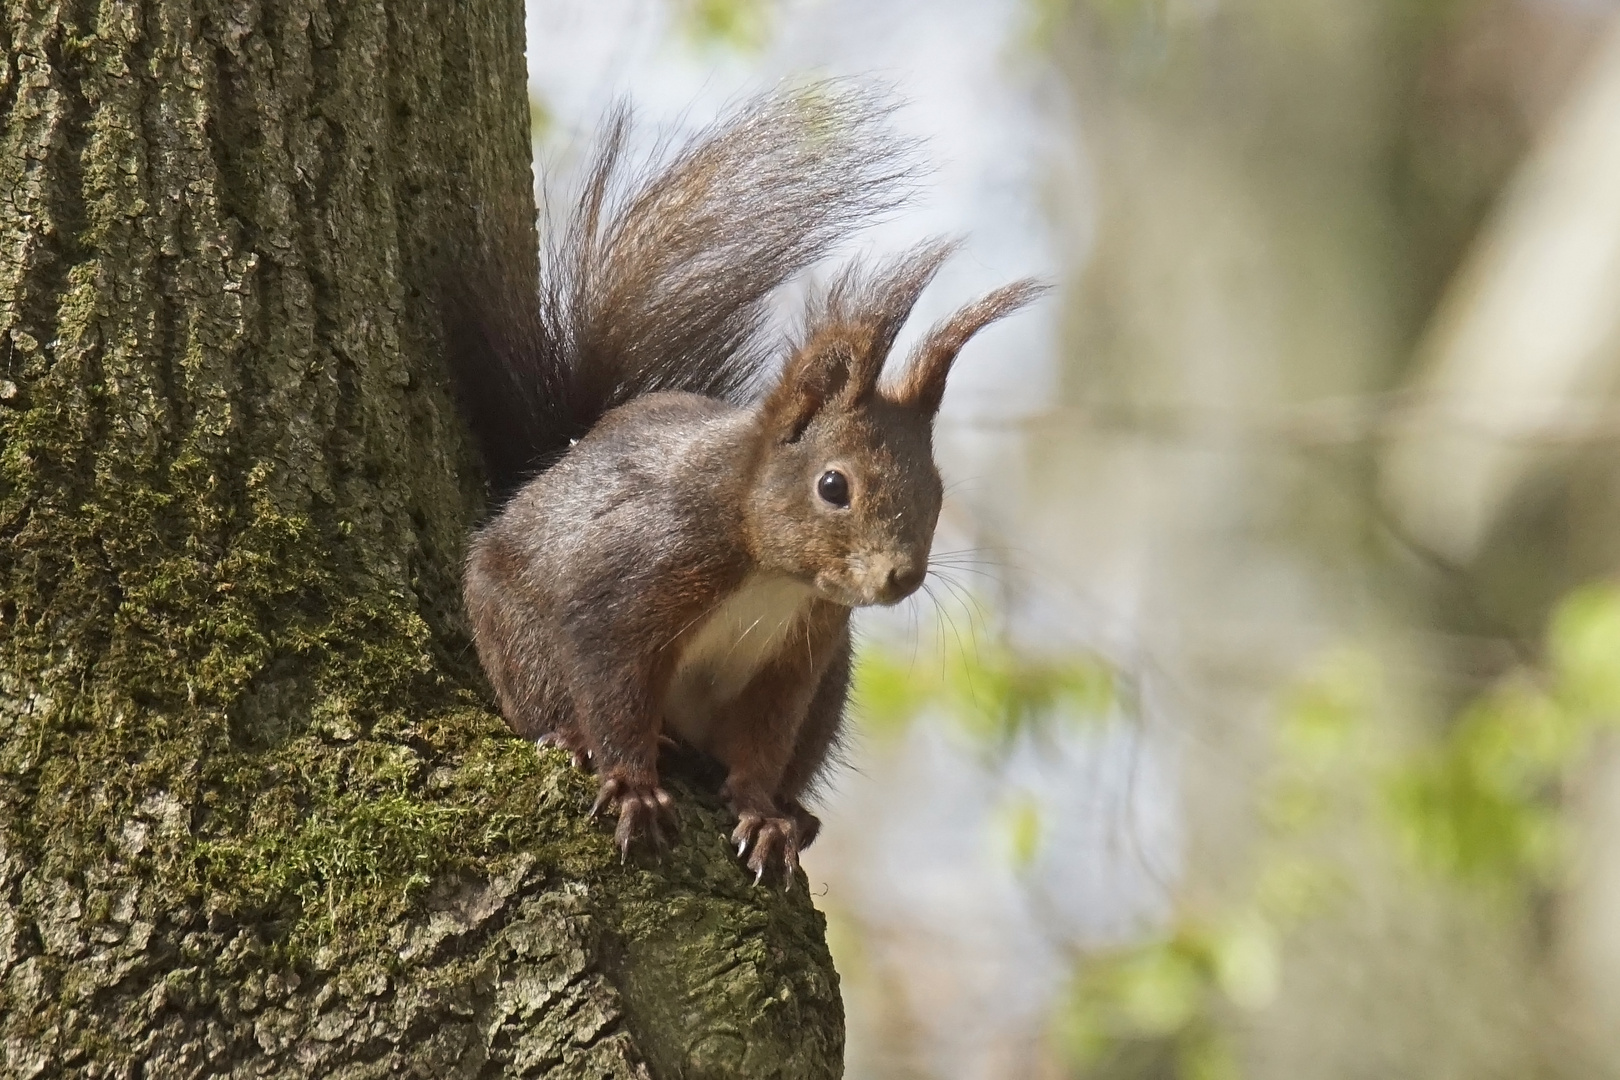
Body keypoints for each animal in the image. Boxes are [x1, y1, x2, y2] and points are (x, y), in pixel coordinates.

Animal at [450, 82, 1043, 880]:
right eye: (833, 486)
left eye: (939, 491)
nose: (901, 577)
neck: (769, 568)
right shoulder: (632, 582)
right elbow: (611, 685)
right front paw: (631, 784)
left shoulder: (799, 656)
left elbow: (764, 742)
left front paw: (763, 815)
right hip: (514, 627)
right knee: (543, 693)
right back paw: (573, 737)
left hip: (831, 689)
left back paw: (799, 813)